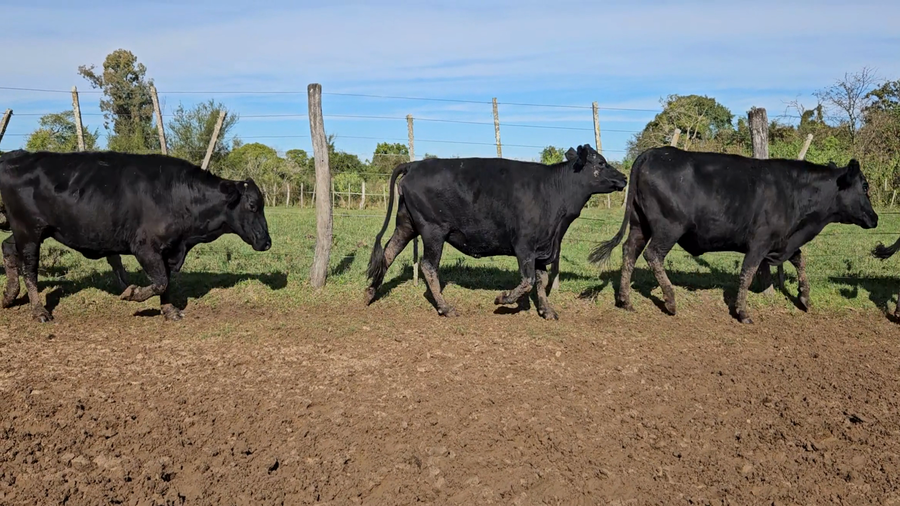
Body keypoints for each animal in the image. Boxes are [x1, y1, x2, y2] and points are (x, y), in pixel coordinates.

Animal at [0, 149, 272, 322]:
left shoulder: (170, 250)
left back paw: (9, 295)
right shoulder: (145, 247)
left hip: (30, 232)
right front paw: (132, 293)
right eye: (252, 205)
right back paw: (38, 311)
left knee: (8, 248)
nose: (267, 242)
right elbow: (160, 281)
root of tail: (15, 156)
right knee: (30, 269)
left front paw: (169, 310)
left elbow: (167, 281)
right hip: (29, 231)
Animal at [364, 144, 627, 319]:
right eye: (601, 163)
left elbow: (541, 280)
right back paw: (445, 307)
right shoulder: (524, 245)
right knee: (428, 266)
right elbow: (528, 280)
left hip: (406, 224)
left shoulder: (541, 247)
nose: (624, 177)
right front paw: (503, 298)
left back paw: (369, 293)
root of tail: (414, 164)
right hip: (433, 230)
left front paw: (546, 310)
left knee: (388, 253)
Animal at [588, 146, 878, 324]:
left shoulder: (783, 240)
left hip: (640, 224)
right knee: (652, 255)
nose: (875, 218)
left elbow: (799, 259)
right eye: (864, 186)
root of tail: (652, 153)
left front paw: (804, 297)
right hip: (668, 227)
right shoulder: (760, 242)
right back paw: (670, 300)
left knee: (630, 252)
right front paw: (742, 311)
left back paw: (625, 299)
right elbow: (747, 274)